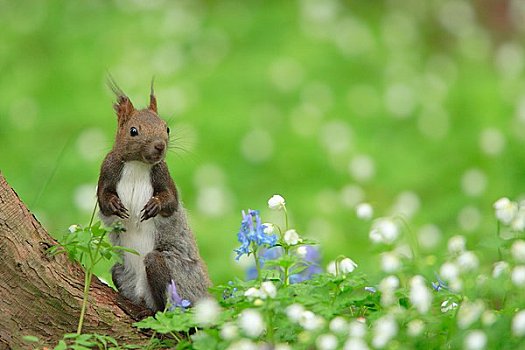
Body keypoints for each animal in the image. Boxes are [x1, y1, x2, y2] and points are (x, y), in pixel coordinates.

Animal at [96, 80, 211, 314]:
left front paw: (154, 206)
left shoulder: (163, 175)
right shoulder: (107, 170)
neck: (138, 164)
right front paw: (114, 204)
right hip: (121, 272)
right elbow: (103, 201)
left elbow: (171, 201)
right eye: (133, 131)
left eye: (167, 127)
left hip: (170, 271)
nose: (160, 145)